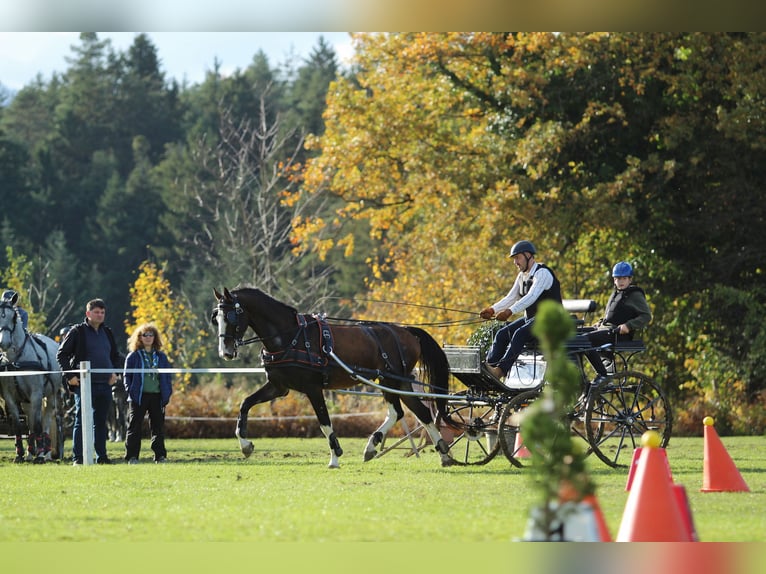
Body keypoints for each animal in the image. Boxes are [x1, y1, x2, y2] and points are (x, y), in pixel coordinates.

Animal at [0, 300, 63, 463]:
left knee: (45, 421)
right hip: (26, 401)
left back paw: (46, 453)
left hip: (51, 395)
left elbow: (38, 425)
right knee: (30, 423)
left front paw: (40, 455)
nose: (4, 343)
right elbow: (18, 425)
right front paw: (19, 454)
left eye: (13, 317)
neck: (16, 361)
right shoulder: (9, 396)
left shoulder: (36, 393)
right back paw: (30, 453)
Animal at [212, 287, 456, 468]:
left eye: (232, 316)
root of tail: (406, 331)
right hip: (400, 382)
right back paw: (442, 454)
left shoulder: (313, 388)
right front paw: (245, 445)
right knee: (420, 413)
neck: (291, 336)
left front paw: (335, 457)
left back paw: (373, 446)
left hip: (390, 380)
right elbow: (245, 404)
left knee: (399, 412)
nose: (226, 352)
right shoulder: (278, 386)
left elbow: (324, 422)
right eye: (217, 318)